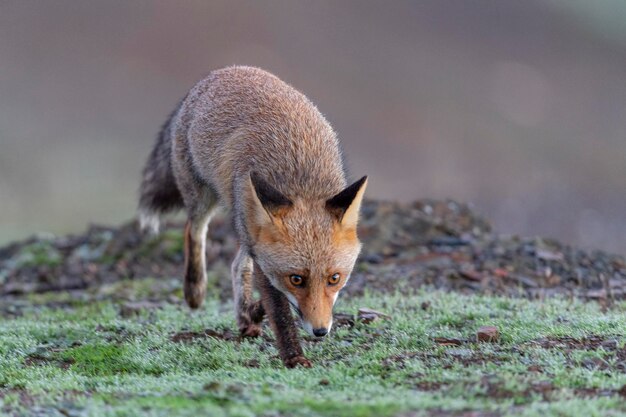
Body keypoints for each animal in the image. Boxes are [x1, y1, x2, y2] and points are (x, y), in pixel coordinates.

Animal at [136, 66, 366, 368]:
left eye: (335, 278)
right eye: (296, 279)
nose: (320, 331)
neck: (300, 182)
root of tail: (225, 71)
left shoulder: (260, 245)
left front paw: (253, 314)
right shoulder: (264, 256)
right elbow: (280, 312)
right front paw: (294, 357)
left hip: (245, 229)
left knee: (237, 266)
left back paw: (247, 316)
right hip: (205, 198)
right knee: (193, 229)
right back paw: (195, 290)